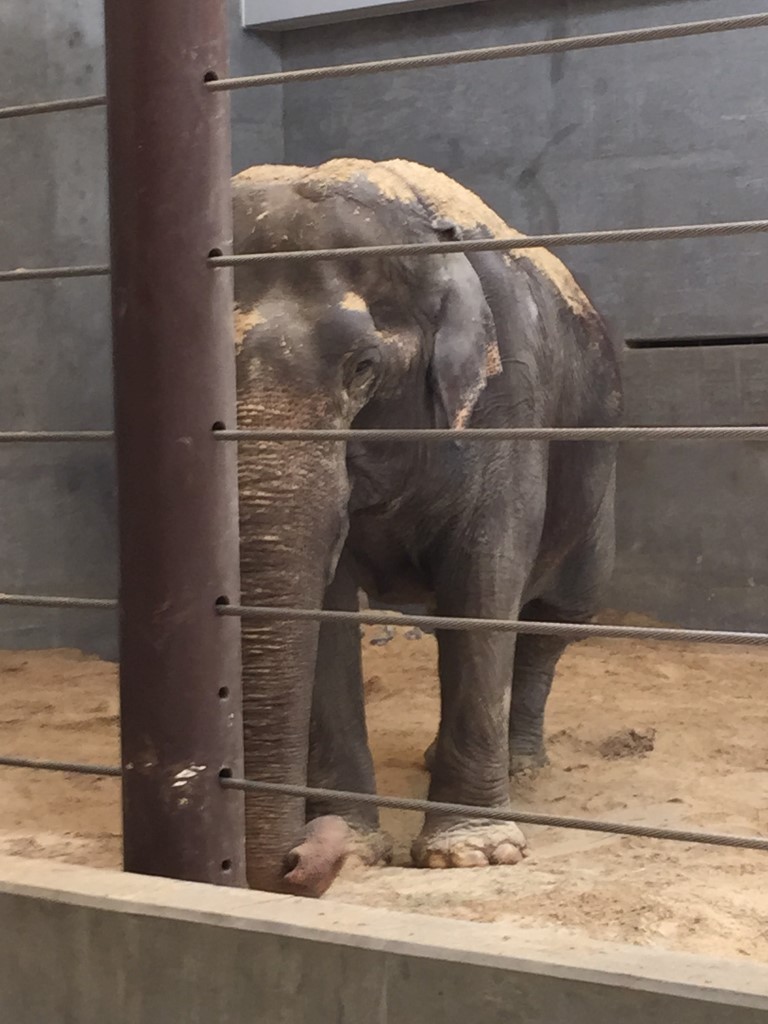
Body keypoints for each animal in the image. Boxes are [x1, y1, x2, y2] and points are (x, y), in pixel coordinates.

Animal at [231, 157, 622, 898]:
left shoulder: (509, 399)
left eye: (363, 369)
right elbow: (328, 606)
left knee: (556, 618)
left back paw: (522, 766)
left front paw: (473, 855)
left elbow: (485, 580)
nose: (301, 854)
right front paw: (356, 844)